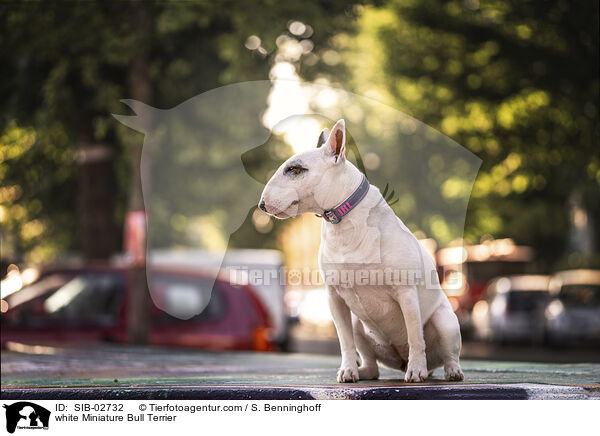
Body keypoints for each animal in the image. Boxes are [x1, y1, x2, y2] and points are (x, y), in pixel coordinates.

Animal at [258, 119, 464, 382]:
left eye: (295, 169)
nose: (261, 205)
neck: (342, 222)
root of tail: (399, 361)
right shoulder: (334, 298)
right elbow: (344, 340)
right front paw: (347, 370)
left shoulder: (406, 293)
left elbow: (415, 336)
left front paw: (416, 371)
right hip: (359, 323)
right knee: (372, 363)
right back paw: (363, 371)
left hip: (445, 321)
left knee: (445, 352)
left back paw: (448, 371)